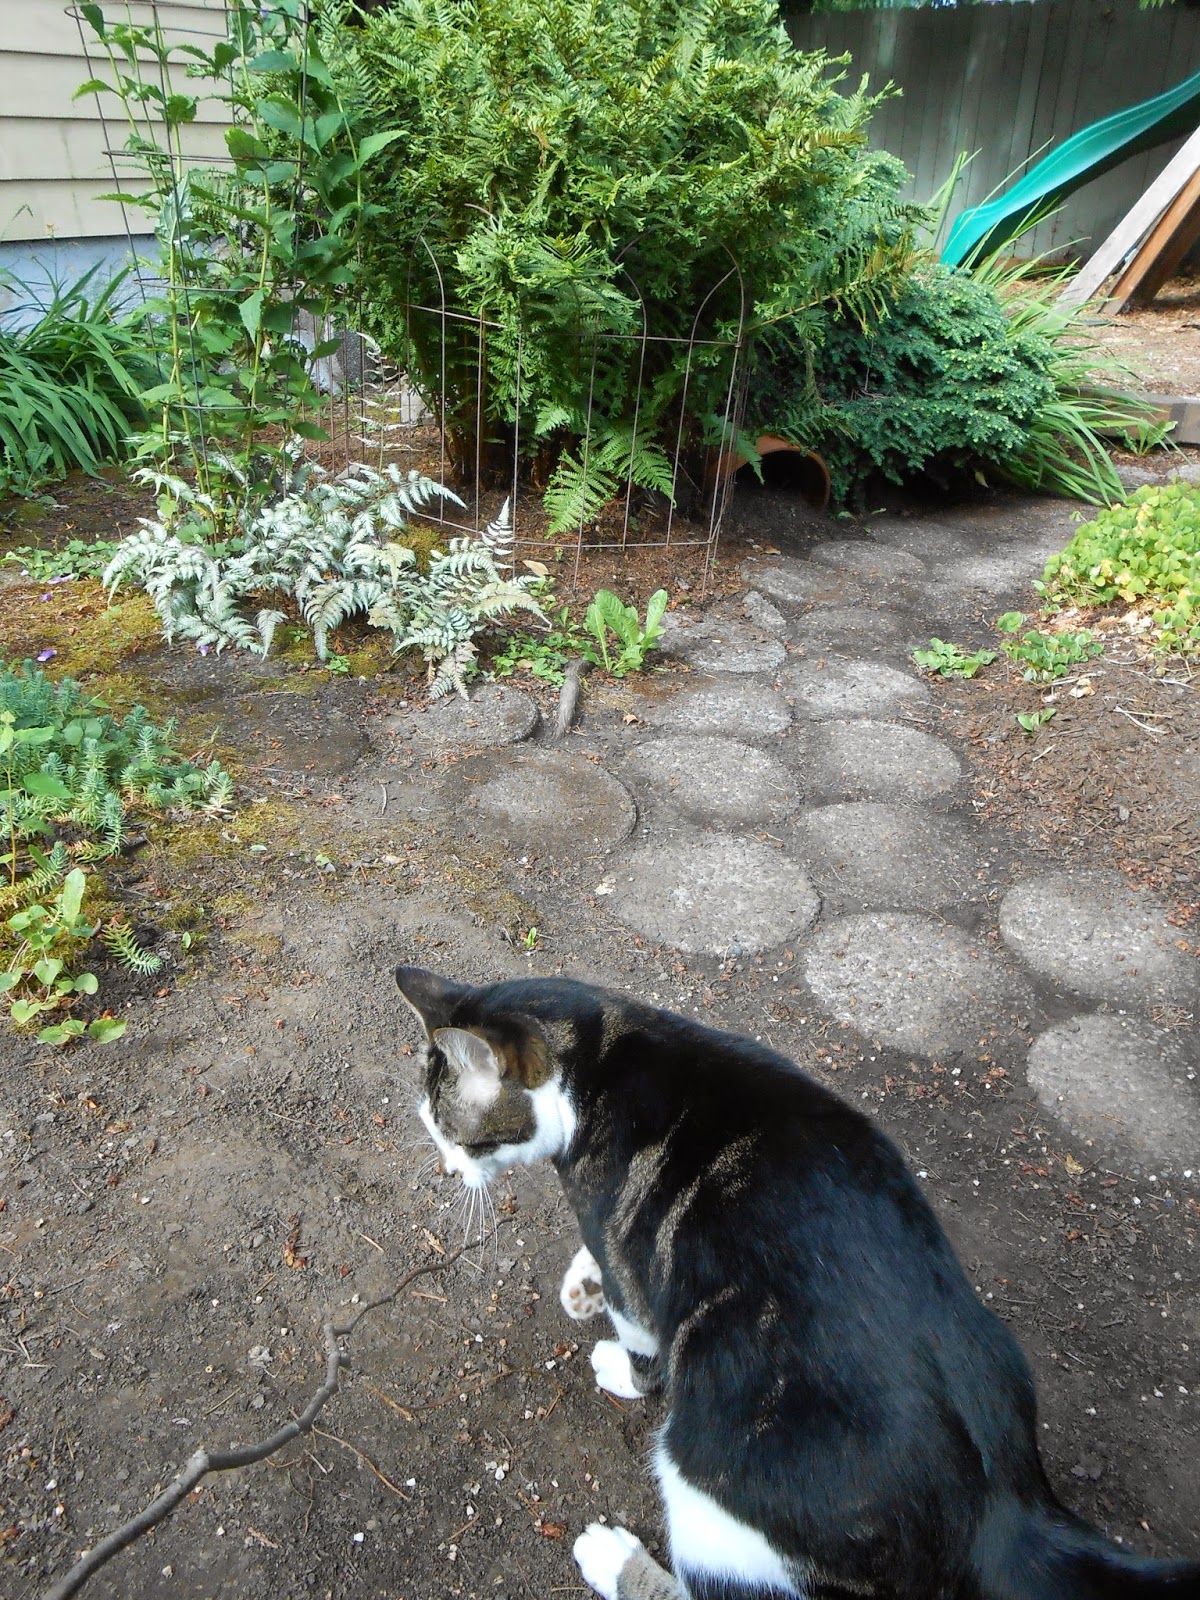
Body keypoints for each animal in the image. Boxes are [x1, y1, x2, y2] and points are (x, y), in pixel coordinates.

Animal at [394, 965, 1200, 1600]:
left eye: (447, 1130)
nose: (447, 1169)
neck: (596, 1054)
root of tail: (1005, 1510)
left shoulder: (632, 1257)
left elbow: (644, 1334)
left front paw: (620, 1362)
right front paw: (581, 1281)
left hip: (714, 1484)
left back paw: (611, 1558)